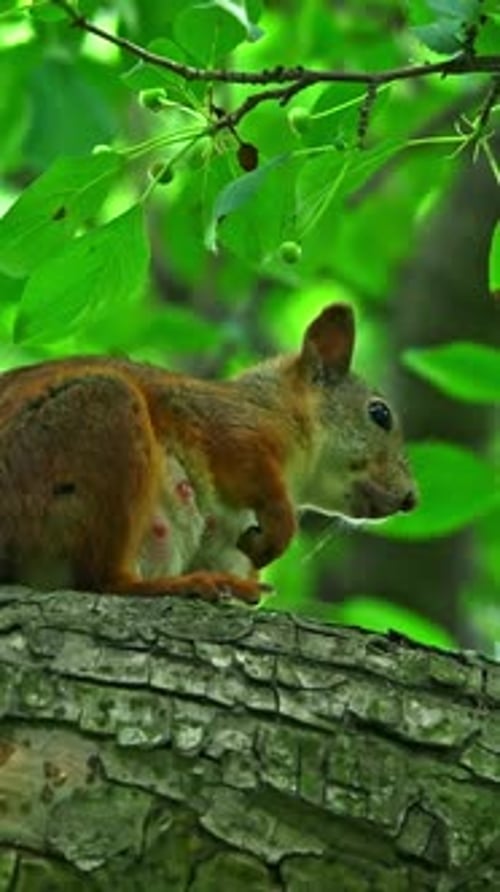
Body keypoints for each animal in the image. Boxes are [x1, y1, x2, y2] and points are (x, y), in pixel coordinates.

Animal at [0, 303, 417, 604]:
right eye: (380, 413)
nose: (411, 499)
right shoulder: (230, 427)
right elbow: (252, 476)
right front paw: (278, 532)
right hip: (96, 419)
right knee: (101, 580)